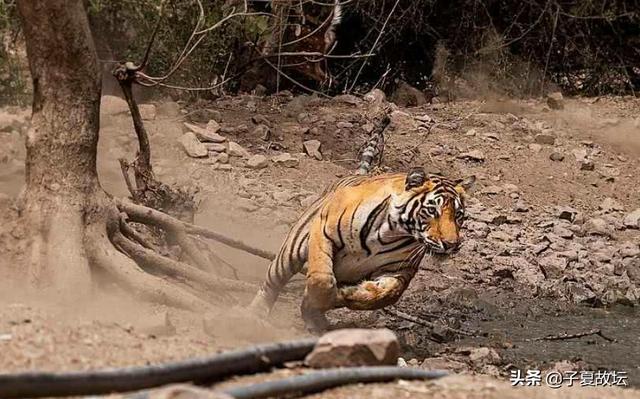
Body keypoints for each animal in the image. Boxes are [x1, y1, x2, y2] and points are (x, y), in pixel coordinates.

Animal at [249, 168, 476, 332]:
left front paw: (347, 294)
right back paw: (254, 316)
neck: (391, 233)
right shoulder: (324, 232)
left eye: (458, 215)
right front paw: (321, 298)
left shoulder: (400, 270)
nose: (451, 244)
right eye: (431, 211)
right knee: (271, 284)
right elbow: (321, 279)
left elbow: (387, 294)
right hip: (291, 252)